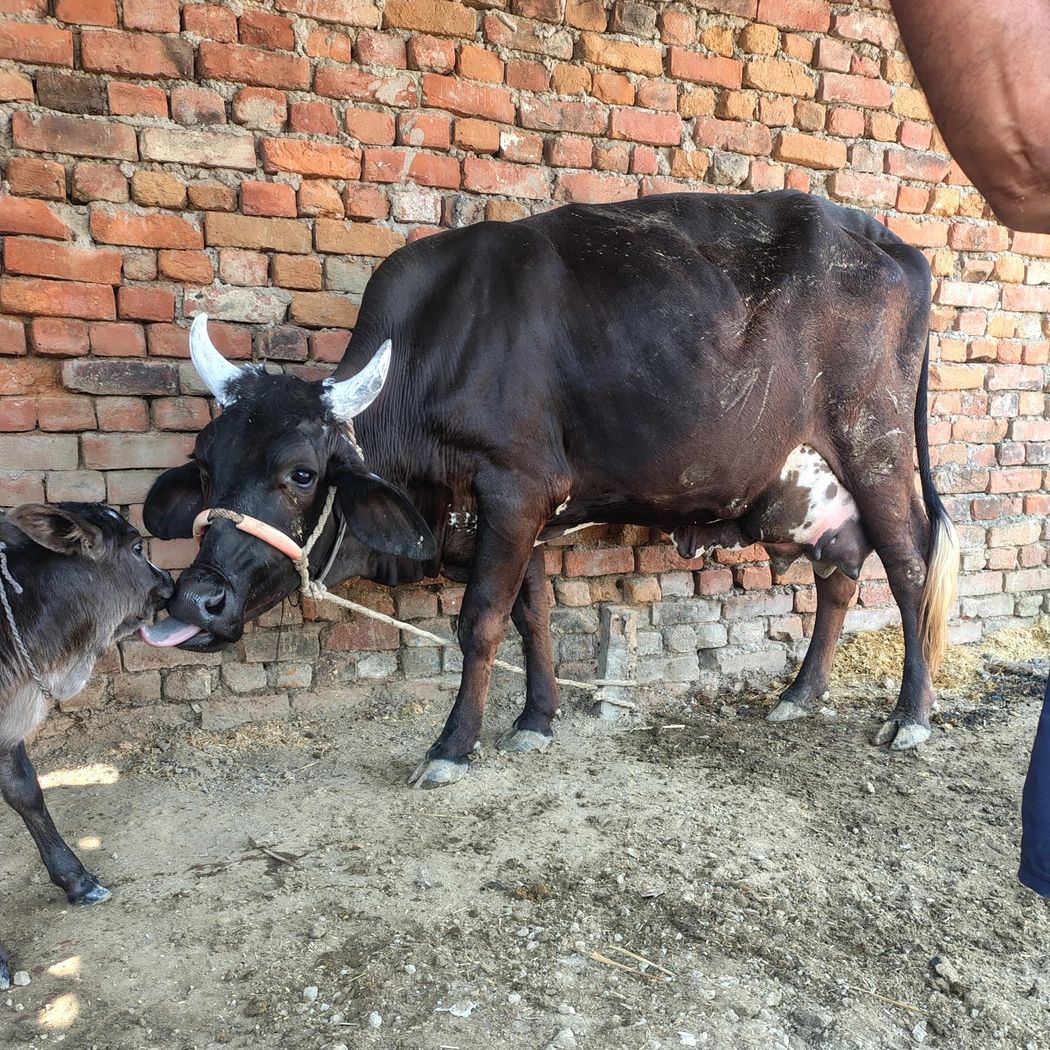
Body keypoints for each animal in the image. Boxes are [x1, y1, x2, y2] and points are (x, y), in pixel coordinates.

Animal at [141, 190, 959, 789]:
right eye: (206, 462)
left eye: (302, 474)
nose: (192, 599)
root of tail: (887, 240)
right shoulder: (518, 510)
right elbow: (530, 612)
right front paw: (536, 721)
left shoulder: (516, 486)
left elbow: (481, 620)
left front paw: (453, 745)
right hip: (820, 486)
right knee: (839, 573)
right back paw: (799, 694)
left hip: (877, 448)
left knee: (908, 566)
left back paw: (911, 717)